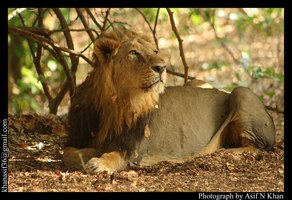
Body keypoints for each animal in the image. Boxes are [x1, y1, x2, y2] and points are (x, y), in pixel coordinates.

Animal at [62, 28, 276, 174]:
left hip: (242, 93)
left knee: (259, 148)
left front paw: (98, 163)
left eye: (155, 51)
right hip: (196, 82)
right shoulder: (77, 138)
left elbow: (112, 155)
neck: (114, 103)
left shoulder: (133, 150)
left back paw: (225, 152)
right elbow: (69, 153)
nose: (162, 67)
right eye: (133, 52)